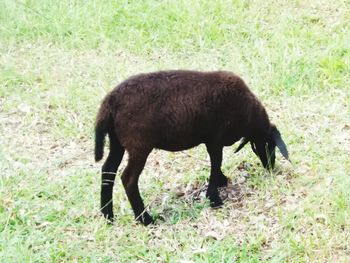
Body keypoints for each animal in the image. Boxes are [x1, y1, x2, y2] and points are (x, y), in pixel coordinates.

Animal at [94, 70, 288, 227]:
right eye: (269, 144)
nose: (270, 166)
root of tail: (110, 102)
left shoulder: (210, 141)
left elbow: (215, 163)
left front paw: (220, 182)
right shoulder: (216, 138)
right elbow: (216, 163)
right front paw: (214, 198)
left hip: (117, 142)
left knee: (108, 170)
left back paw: (108, 215)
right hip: (139, 145)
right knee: (128, 179)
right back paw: (145, 219)